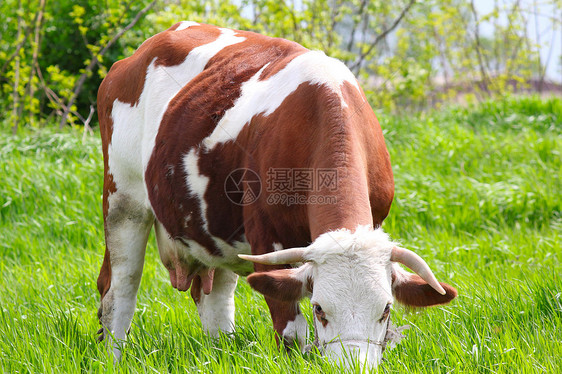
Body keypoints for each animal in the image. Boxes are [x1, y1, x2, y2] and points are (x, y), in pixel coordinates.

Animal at [96, 21, 456, 370]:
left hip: (215, 227)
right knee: (119, 290)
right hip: (123, 202)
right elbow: (293, 335)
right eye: (319, 308)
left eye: (386, 309)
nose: (353, 366)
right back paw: (113, 356)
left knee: (215, 298)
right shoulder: (266, 240)